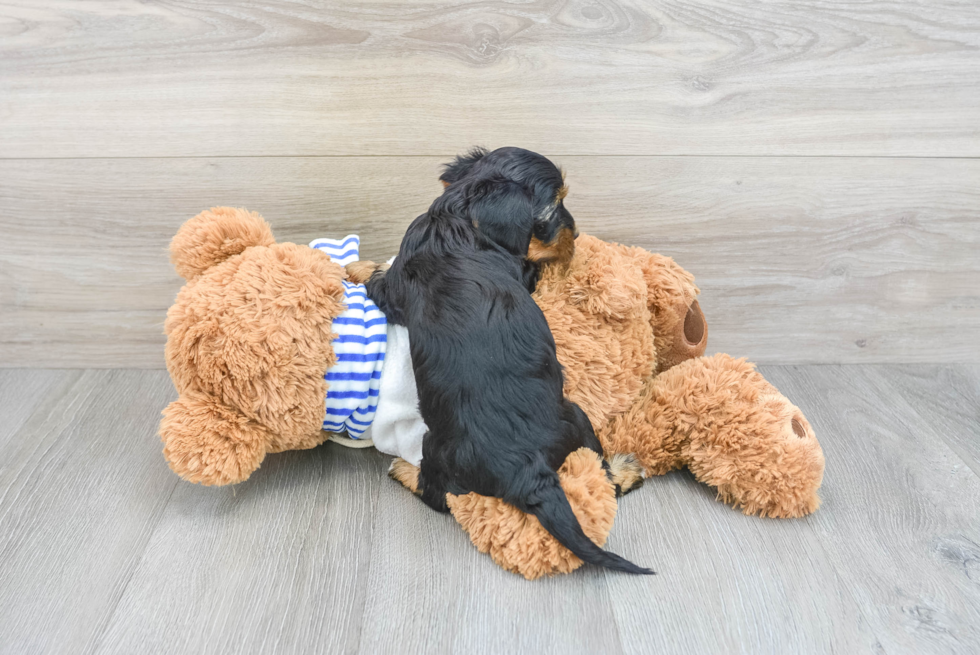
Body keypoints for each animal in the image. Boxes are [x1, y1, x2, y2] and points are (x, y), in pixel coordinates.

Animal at [366, 147, 652, 576]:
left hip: (438, 443)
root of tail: (524, 472)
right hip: (577, 417)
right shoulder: (524, 270)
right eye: (554, 208)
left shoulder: (399, 281)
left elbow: (380, 278)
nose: (576, 235)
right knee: (599, 475)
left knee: (442, 494)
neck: (458, 217)